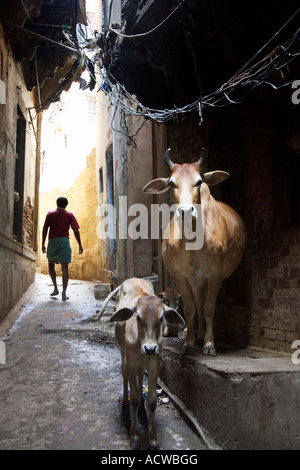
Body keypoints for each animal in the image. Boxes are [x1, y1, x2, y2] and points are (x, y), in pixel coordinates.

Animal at [143, 150, 246, 356]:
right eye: (172, 183)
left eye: (198, 182)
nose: (185, 211)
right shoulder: (181, 276)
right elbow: (190, 307)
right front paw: (189, 343)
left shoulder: (215, 276)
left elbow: (209, 307)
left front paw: (209, 344)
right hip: (195, 280)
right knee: (198, 301)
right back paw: (198, 335)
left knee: (204, 303)